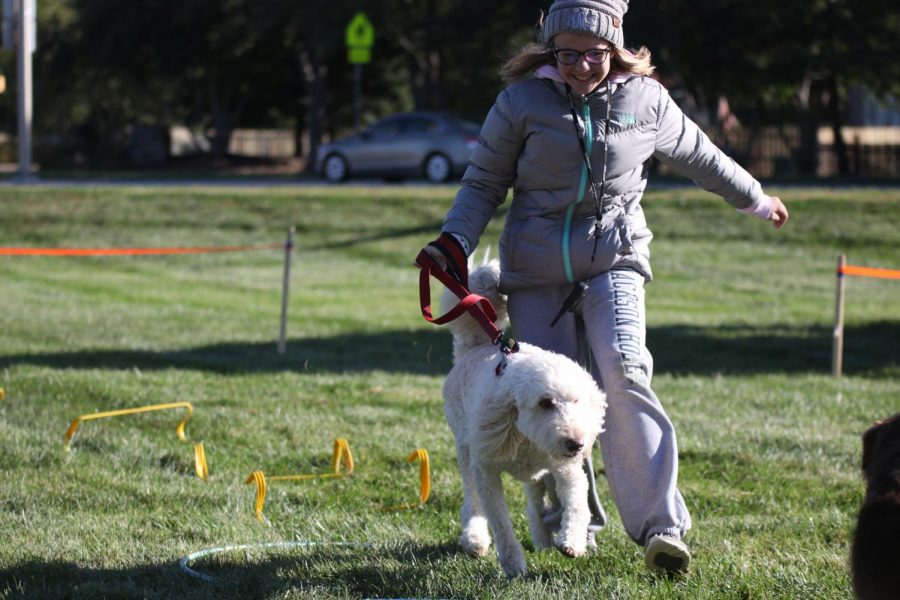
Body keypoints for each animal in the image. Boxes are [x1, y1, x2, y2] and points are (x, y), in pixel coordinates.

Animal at [442, 260, 608, 580]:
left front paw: (572, 541)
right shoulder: (486, 469)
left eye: (577, 402)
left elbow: (578, 504)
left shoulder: (566, 469)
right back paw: (475, 538)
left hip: (537, 475)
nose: (576, 444)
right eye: (545, 402)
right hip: (465, 450)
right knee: (472, 502)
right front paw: (512, 564)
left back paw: (542, 538)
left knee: (534, 501)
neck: (526, 438)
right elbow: (500, 522)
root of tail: (476, 346)